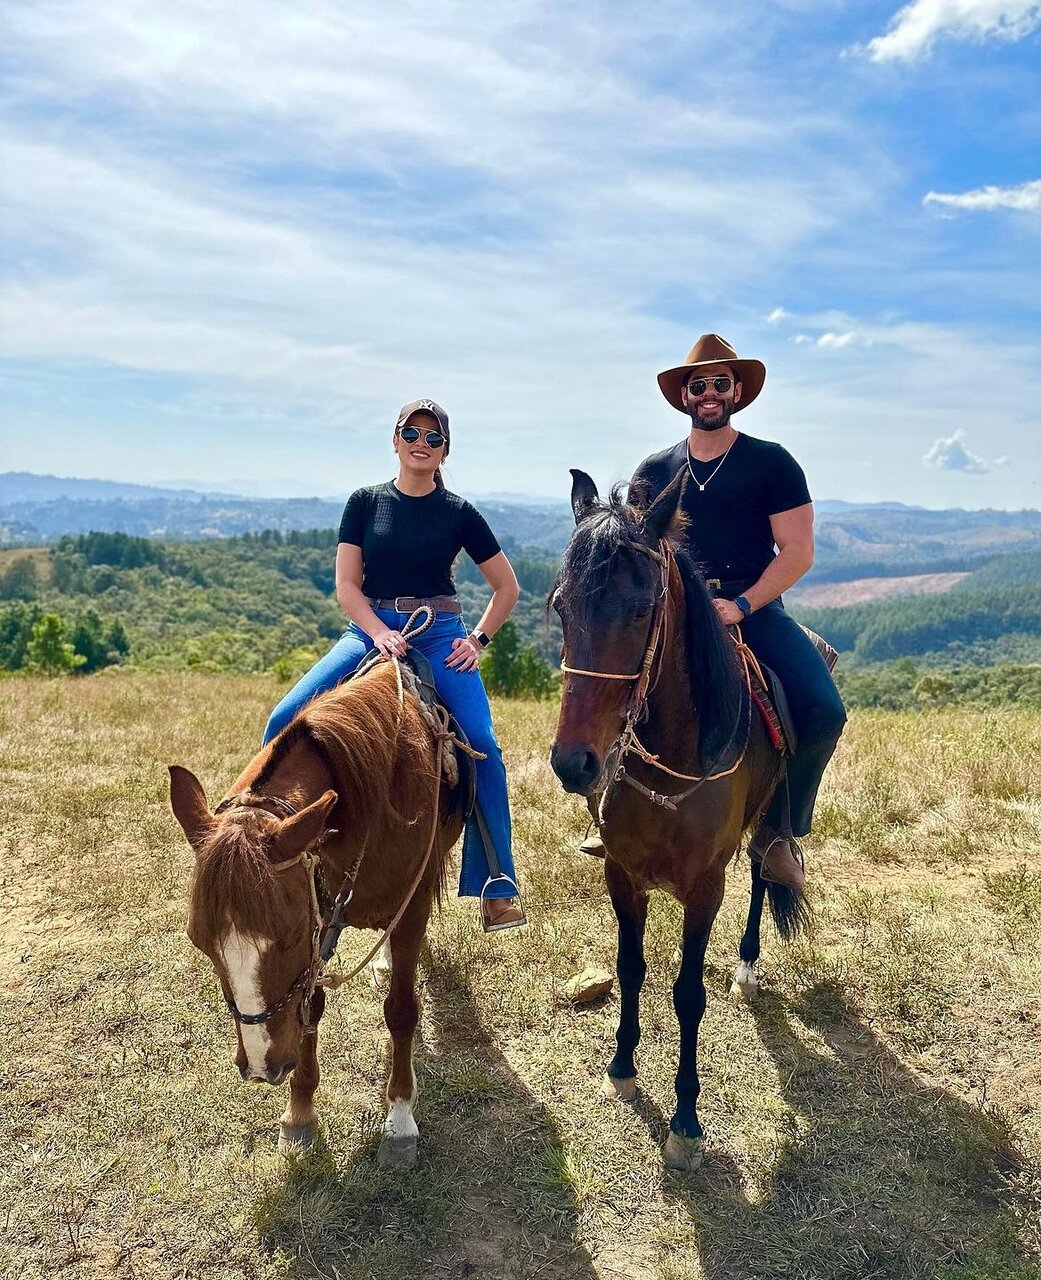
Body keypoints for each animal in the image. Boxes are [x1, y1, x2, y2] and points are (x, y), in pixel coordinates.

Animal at [170, 655, 463, 1167]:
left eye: (286, 934)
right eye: (200, 942)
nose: (263, 1066)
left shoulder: (408, 909)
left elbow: (402, 1011)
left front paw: (400, 1119)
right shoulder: (322, 914)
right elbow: (310, 1008)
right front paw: (300, 1113)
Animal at [553, 471, 804, 1172]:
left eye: (641, 611)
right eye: (559, 607)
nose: (574, 763)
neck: (676, 757)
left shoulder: (702, 887)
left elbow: (688, 993)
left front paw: (686, 1120)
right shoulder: (622, 875)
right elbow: (631, 967)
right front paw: (621, 1064)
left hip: (765, 822)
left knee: (763, 869)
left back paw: (747, 967)